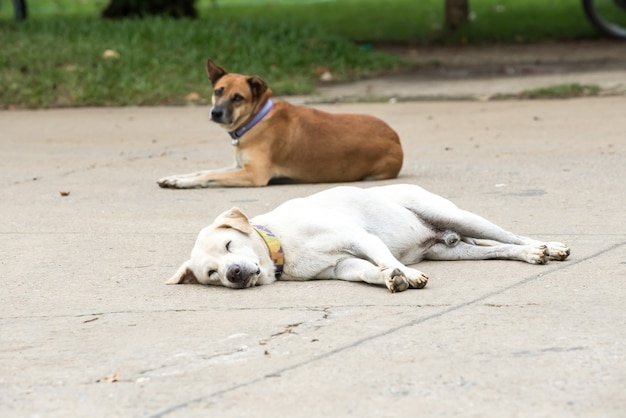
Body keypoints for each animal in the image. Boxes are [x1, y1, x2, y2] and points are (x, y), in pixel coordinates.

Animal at [156, 59, 400, 188]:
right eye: (218, 91)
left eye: (238, 98)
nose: (216, 113)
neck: (256, 120)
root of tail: (396, 138)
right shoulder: (238, 166)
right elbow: (203, 170)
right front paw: (176, 178)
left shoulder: (253, 174)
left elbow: (209, 175)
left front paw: (184, 182)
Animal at [167, 185, 572, 292]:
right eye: (212, 274)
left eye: (229, 246)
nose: (233, 273)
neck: (282, 243)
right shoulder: (341, 266)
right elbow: (368, 272)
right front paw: (392, 279)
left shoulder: (360, 239)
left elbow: (383, 257)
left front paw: (406, 275)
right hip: (453, 252)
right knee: (499, 249)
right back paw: (530, 254)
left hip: (458, 216)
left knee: (511, 235)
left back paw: (545, 247)